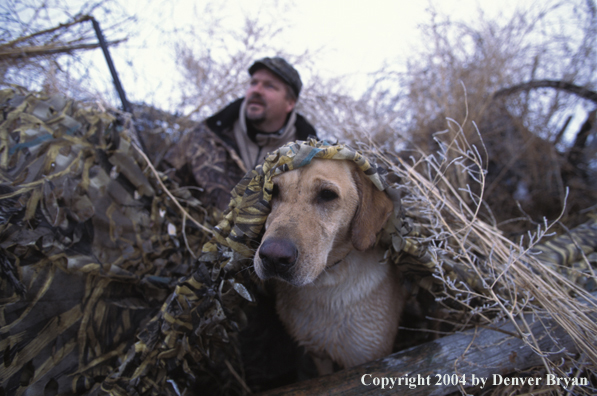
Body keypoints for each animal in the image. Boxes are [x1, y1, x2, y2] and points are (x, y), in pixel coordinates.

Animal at [254, 159, 402, 374]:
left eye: (327, 195)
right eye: (272, 191)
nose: (273, 257)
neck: (327, 283)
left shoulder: (367, 357)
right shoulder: (318, 353)